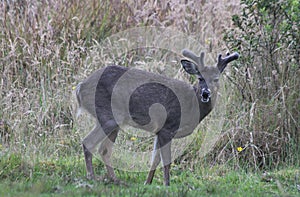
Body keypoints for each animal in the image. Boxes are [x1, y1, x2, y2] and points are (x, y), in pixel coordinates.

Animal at [77, 49, 239, 185]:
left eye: (216, 79)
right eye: (200, 78)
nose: (206, 93)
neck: (192, 106)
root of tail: (81, 87)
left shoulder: (159, 131)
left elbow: (154, 160)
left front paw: (147, 183)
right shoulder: (168, 127)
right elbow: (166, 161)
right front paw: (167, 185)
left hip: (114, 121)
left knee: (104, 149)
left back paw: (115, 180)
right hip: (108, 116)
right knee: (89, 143)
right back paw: (92, 177)